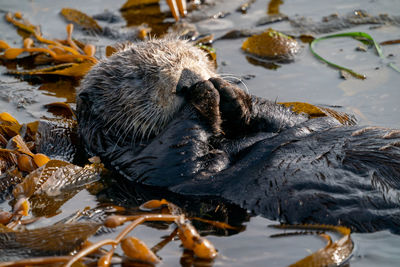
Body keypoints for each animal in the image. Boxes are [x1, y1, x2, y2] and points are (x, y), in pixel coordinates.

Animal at [76, 37, 400, 234]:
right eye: (137, 76)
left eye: (190, 55)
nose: (187, 79)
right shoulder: (138, 162)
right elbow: (180, 158)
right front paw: (204, 95)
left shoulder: (295, 123)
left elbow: (291, 121)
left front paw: (229, 93)